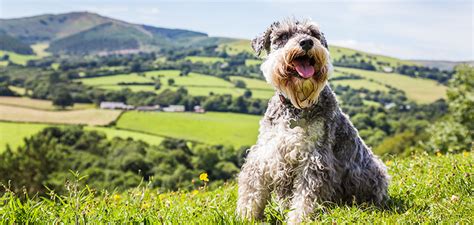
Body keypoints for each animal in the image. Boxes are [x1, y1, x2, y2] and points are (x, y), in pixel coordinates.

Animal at [237, 18, 388, 223]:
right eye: (283, 35)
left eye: (313, 33)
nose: (307, 42)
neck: (296, 107)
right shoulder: (265, 154)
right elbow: (252, 190)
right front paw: (245, 216)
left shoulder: (314, 159)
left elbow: (305, 198)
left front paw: (298, 220)